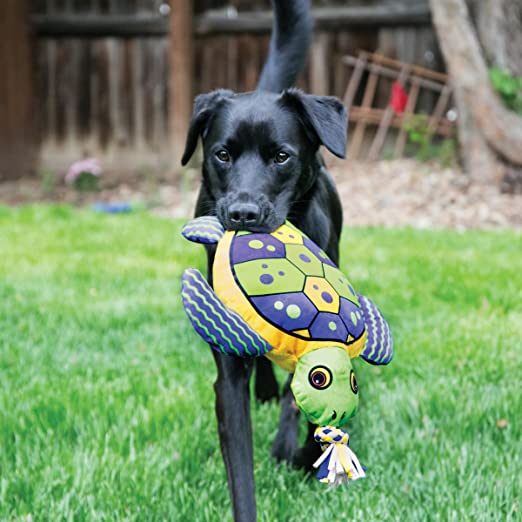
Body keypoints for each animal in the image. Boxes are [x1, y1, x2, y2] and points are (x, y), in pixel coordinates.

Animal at [181, 2, 348, 516]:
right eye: (222, 154)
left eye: (281, 157)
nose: (243, 214)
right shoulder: (227, 373)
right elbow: (240, 466)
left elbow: (311, 397)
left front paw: (304, 455)